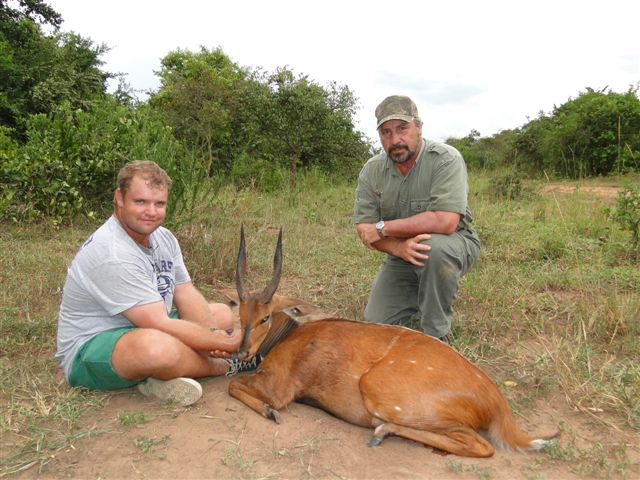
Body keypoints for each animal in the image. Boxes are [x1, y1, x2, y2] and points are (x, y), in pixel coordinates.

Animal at [228, 228, 556, 458]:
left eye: (265, 317)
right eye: (240, 314)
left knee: (480, 445)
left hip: (379, 390)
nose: (243, 352)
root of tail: (497, 404)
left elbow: (236, 387)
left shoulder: (280, 388)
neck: (290, 335)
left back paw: (382, 431)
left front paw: (269, 412)